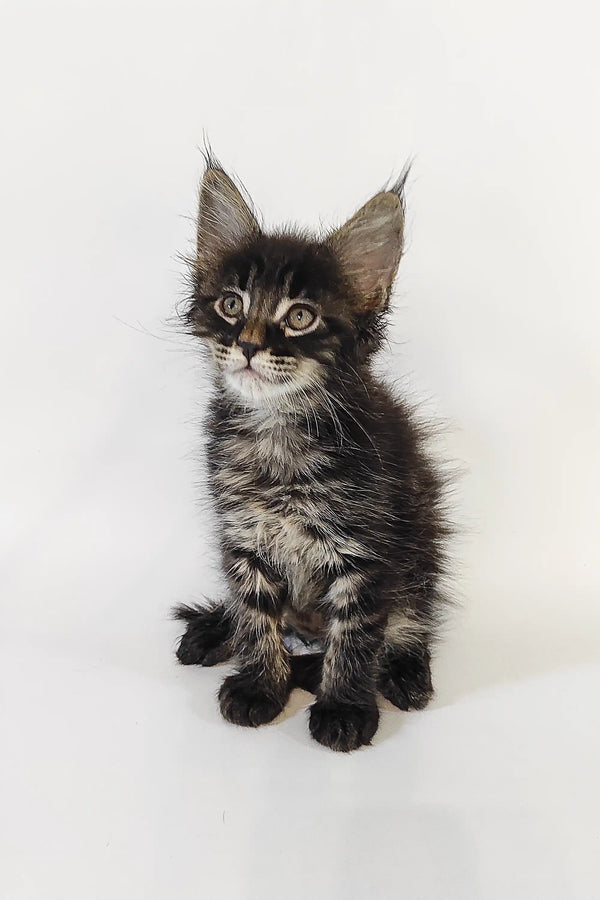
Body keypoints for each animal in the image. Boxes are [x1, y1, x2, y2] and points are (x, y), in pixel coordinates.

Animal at [173, 156, 450, 752]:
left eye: (300, 317)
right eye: (232, 305)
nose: (248, 344)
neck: (278, 430)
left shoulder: (366, 550)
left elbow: (355, 635)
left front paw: (344, 706)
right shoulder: (243, 536)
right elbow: (256, 614)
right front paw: (261, 685)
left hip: (422, 552)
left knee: (409, 623)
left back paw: (403, 674)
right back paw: (215, 631)